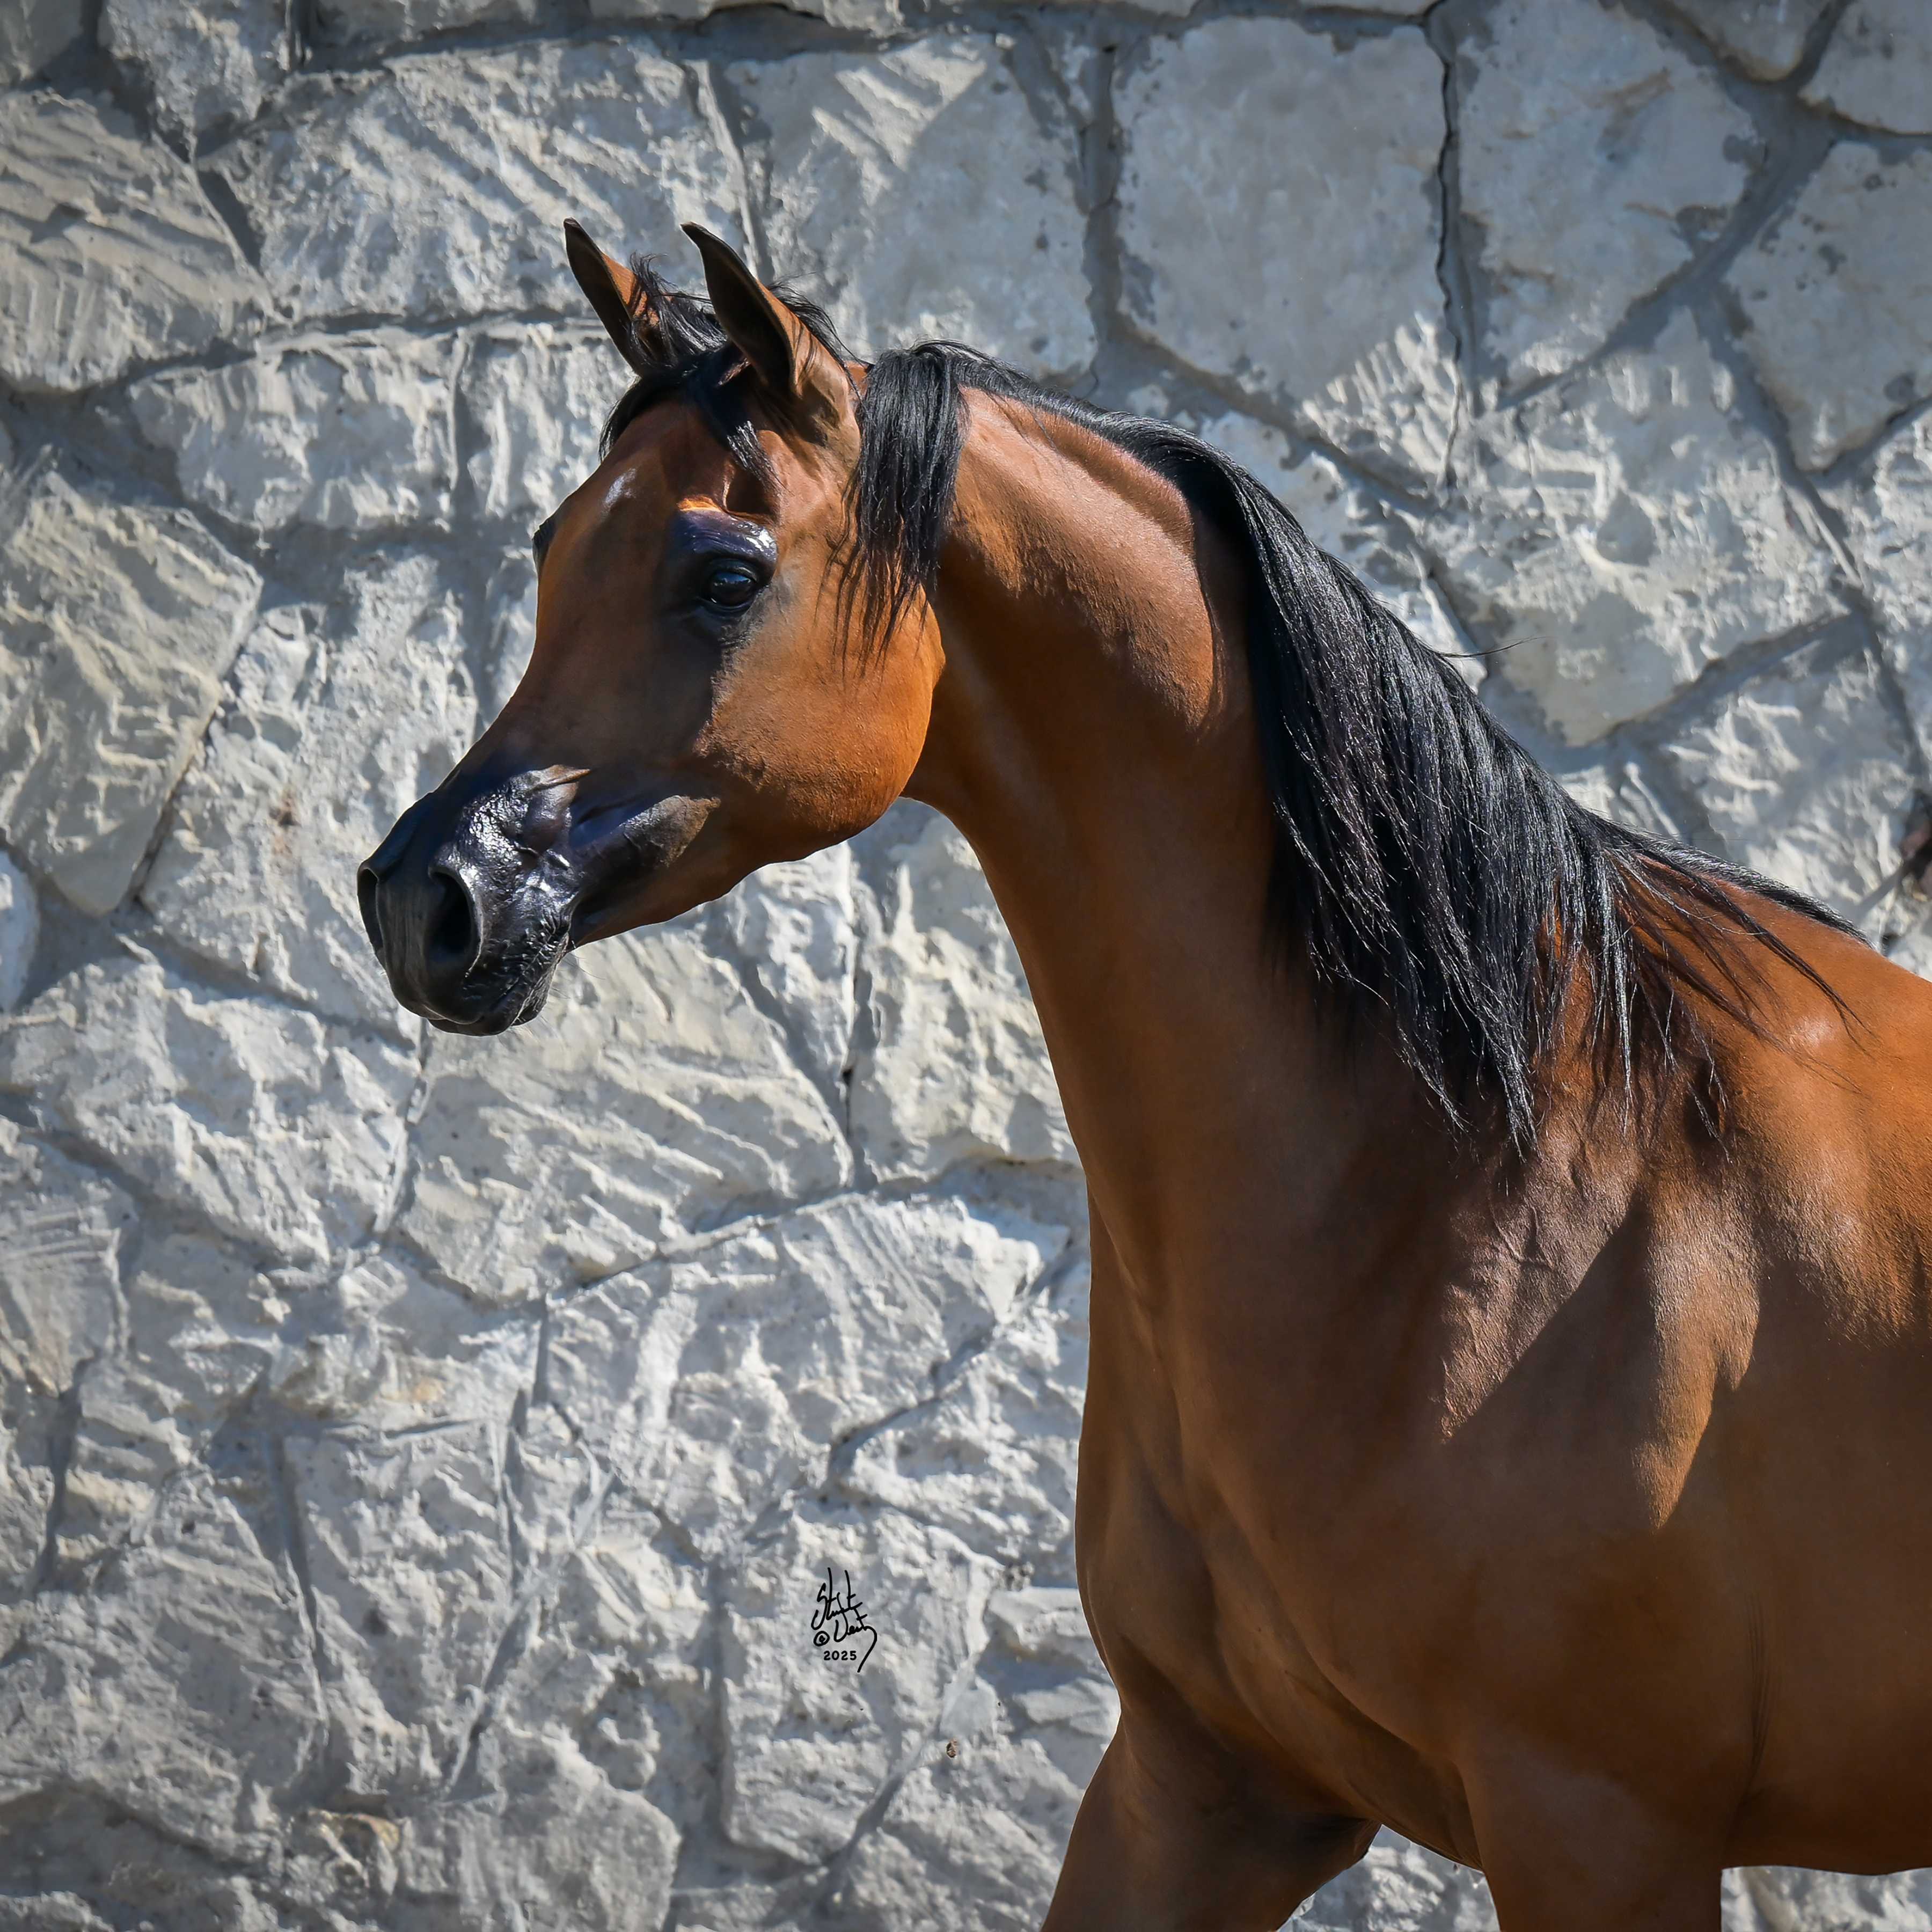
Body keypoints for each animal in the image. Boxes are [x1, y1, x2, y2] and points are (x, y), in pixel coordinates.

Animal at [358, 220, 1932, 1930]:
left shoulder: (1602, 1825)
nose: (424, 898)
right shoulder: (1204, 1784)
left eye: (723, 573)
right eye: (548, 549)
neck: (1501, 1193)